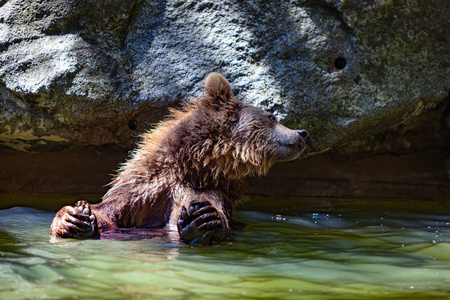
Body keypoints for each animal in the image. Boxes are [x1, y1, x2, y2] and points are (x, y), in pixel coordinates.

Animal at [50, 72, 310, 244]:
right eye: (272, 116)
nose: (303, 132)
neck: (194, 166)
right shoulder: (144, 188)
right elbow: (108, 212)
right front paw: (74, 217)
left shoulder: (212, 192)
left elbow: (215, 215)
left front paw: (202, 220)